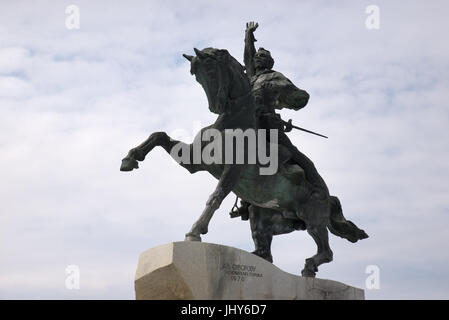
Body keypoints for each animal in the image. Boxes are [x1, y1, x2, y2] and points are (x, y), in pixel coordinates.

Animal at [120, 47, 368, 278]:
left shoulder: (232, 171)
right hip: (262, 218)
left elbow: (216, 197)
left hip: (312, 218)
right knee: (266, 252)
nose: (216, 106)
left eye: (211, 71)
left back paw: (308, 267)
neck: (231, 123)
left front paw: (195, 231)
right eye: (196, 76)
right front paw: (130, 159)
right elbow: (159, 135)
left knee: (326, 251)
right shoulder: (194, 163)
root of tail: (328, 196)